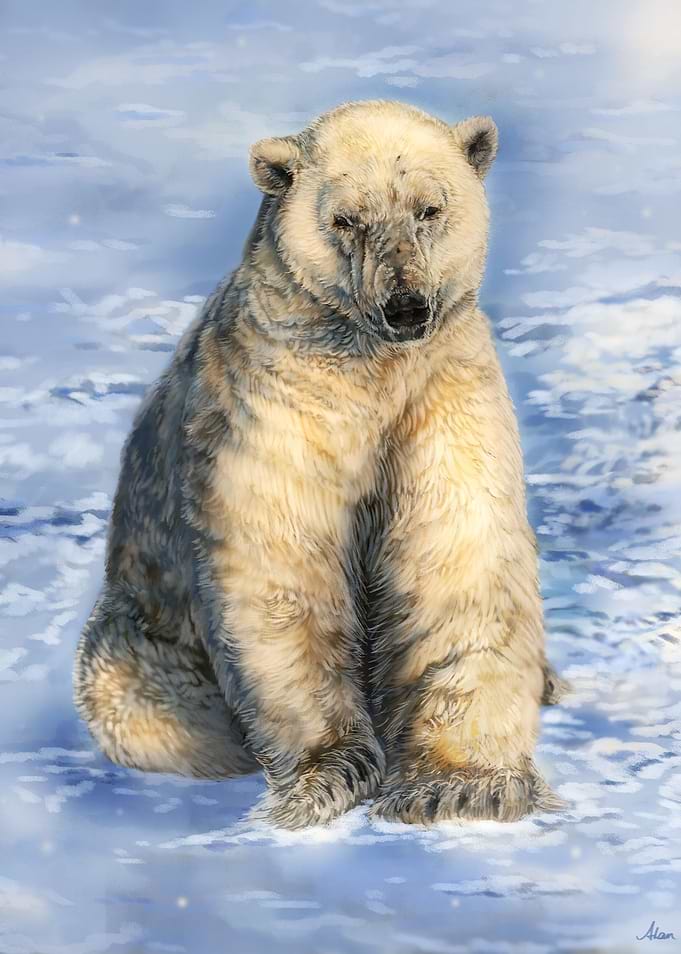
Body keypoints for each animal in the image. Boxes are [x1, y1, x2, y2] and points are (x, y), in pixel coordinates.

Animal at [74, 99, 569, 829]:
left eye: (428, 208)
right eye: (346, 220)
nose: (406, 306)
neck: (370, 370)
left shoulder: (440, 391)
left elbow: (454, 545)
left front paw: (460, 785)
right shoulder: (275, 400)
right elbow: (284, 564)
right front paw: (329, 774)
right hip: (138, 641)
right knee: (151, 707)